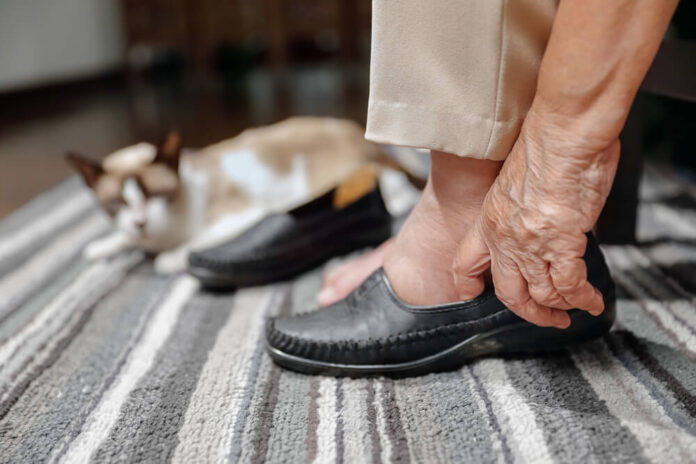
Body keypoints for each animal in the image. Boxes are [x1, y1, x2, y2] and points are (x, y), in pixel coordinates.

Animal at [66, 116, 418, 274]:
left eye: (157, 195)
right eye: (116, 203)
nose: (140, 222)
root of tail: (356, 131)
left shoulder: (236, 217)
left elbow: (192, 243)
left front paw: (168, 258)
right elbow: (123, 238)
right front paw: (103, 246)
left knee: (398, 186)